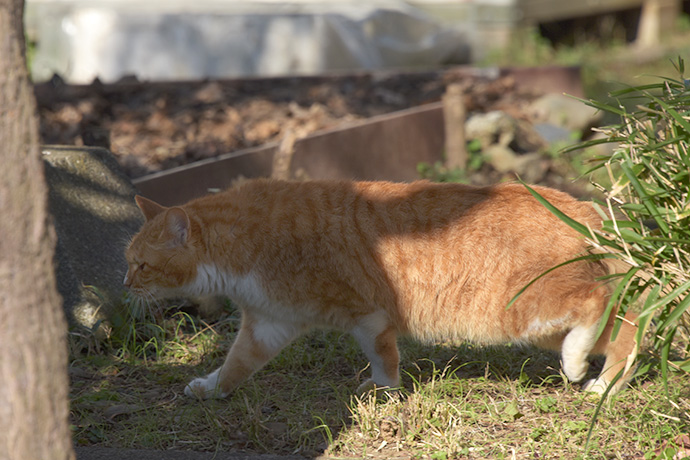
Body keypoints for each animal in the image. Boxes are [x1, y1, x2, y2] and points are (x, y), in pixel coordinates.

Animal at [123, 180, 636, 398]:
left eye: (142, 265)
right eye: (129, 262)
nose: (125, 283)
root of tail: (582, 205)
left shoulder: (368, 314)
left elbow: (382, 356)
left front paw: (385, 390)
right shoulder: (268, 324)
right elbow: (235, 366)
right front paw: (210, 389)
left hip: (527, 312)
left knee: (601, 308)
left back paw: (581, 371)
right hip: (545, 327)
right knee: (627, 332)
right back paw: (604, 383)